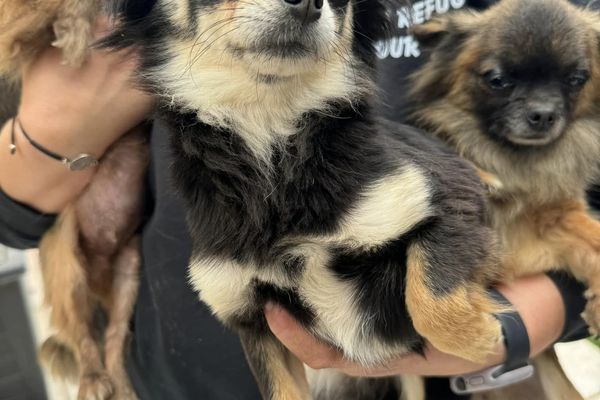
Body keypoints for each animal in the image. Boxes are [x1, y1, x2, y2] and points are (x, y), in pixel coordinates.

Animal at [105, 1, 508, 398]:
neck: (269, 130)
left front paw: (483, 337)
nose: (309, 2)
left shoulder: (451, 196)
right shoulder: (251, 316)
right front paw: (485, 335)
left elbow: (432, 303)